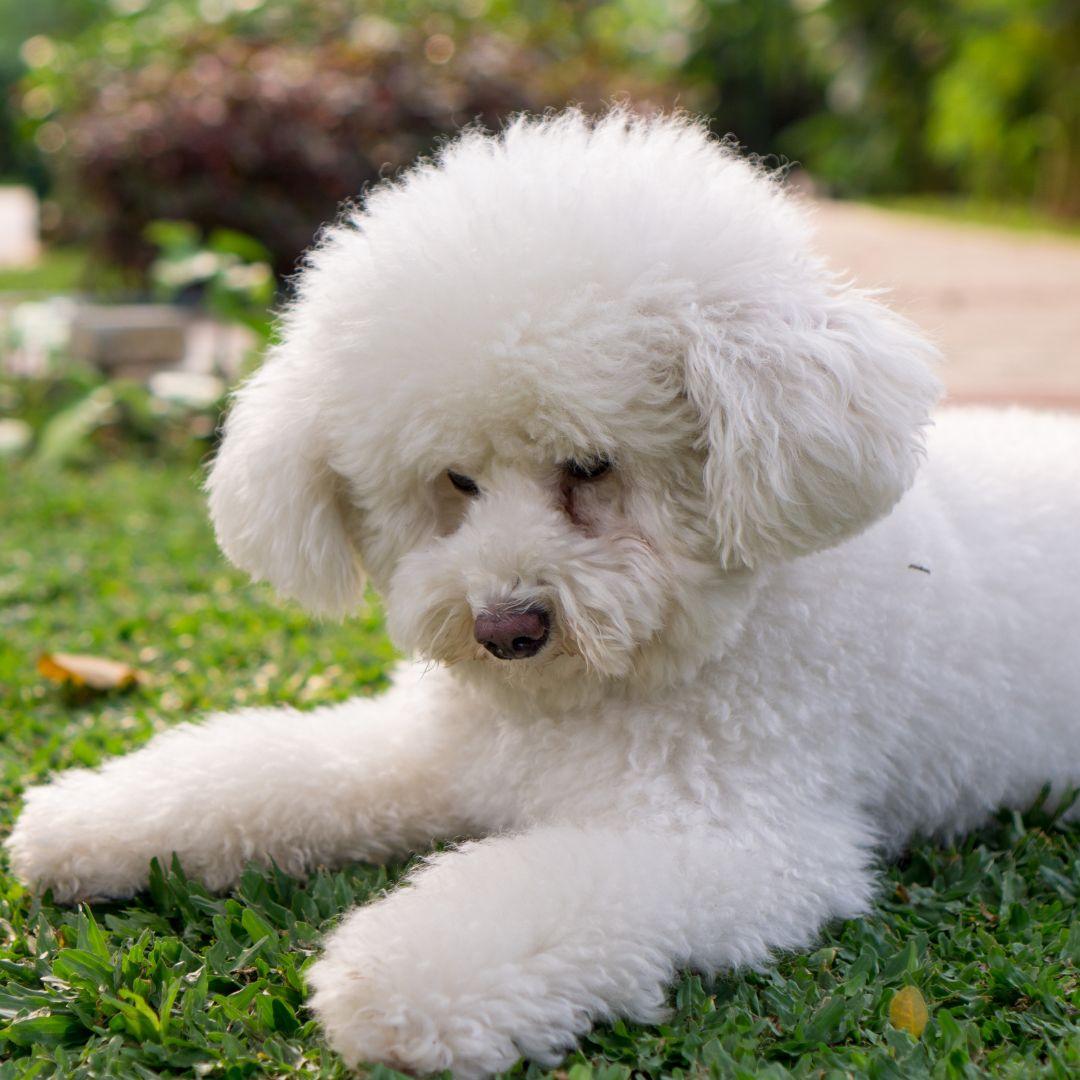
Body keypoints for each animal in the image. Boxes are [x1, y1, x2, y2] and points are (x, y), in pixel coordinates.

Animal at [8, 113, 1080, 1075]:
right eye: (456, 481)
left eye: (590, 468)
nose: (505, 628)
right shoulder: (437, 753)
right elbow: (267, 771)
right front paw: (88, 826)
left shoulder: (736, 840)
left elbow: (534, 891)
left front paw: (394, 982)